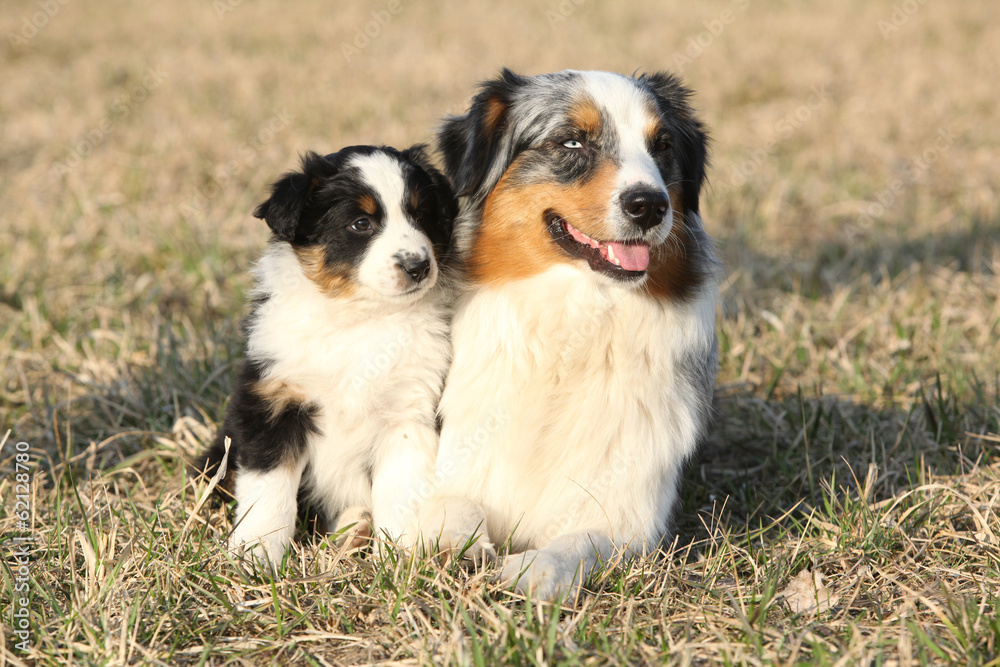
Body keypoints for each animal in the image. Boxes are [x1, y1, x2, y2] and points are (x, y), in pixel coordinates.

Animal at [194, 146, 458, 568]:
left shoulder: (408, 414)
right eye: (361, 223)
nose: (417, 266)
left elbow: (401, 490)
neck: (358, 319)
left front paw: (399, 558)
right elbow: (269, 491)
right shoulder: (272, 403)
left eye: (422, 216)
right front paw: (257, 555)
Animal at [422, 72, 720, 600]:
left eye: (662, 145)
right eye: (572, 142)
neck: (575, 324)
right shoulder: (458, 466)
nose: (650, 205)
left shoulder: (630, 519)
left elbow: (576, 543)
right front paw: (457, 543)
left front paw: (534, 569)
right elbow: (454, 508)